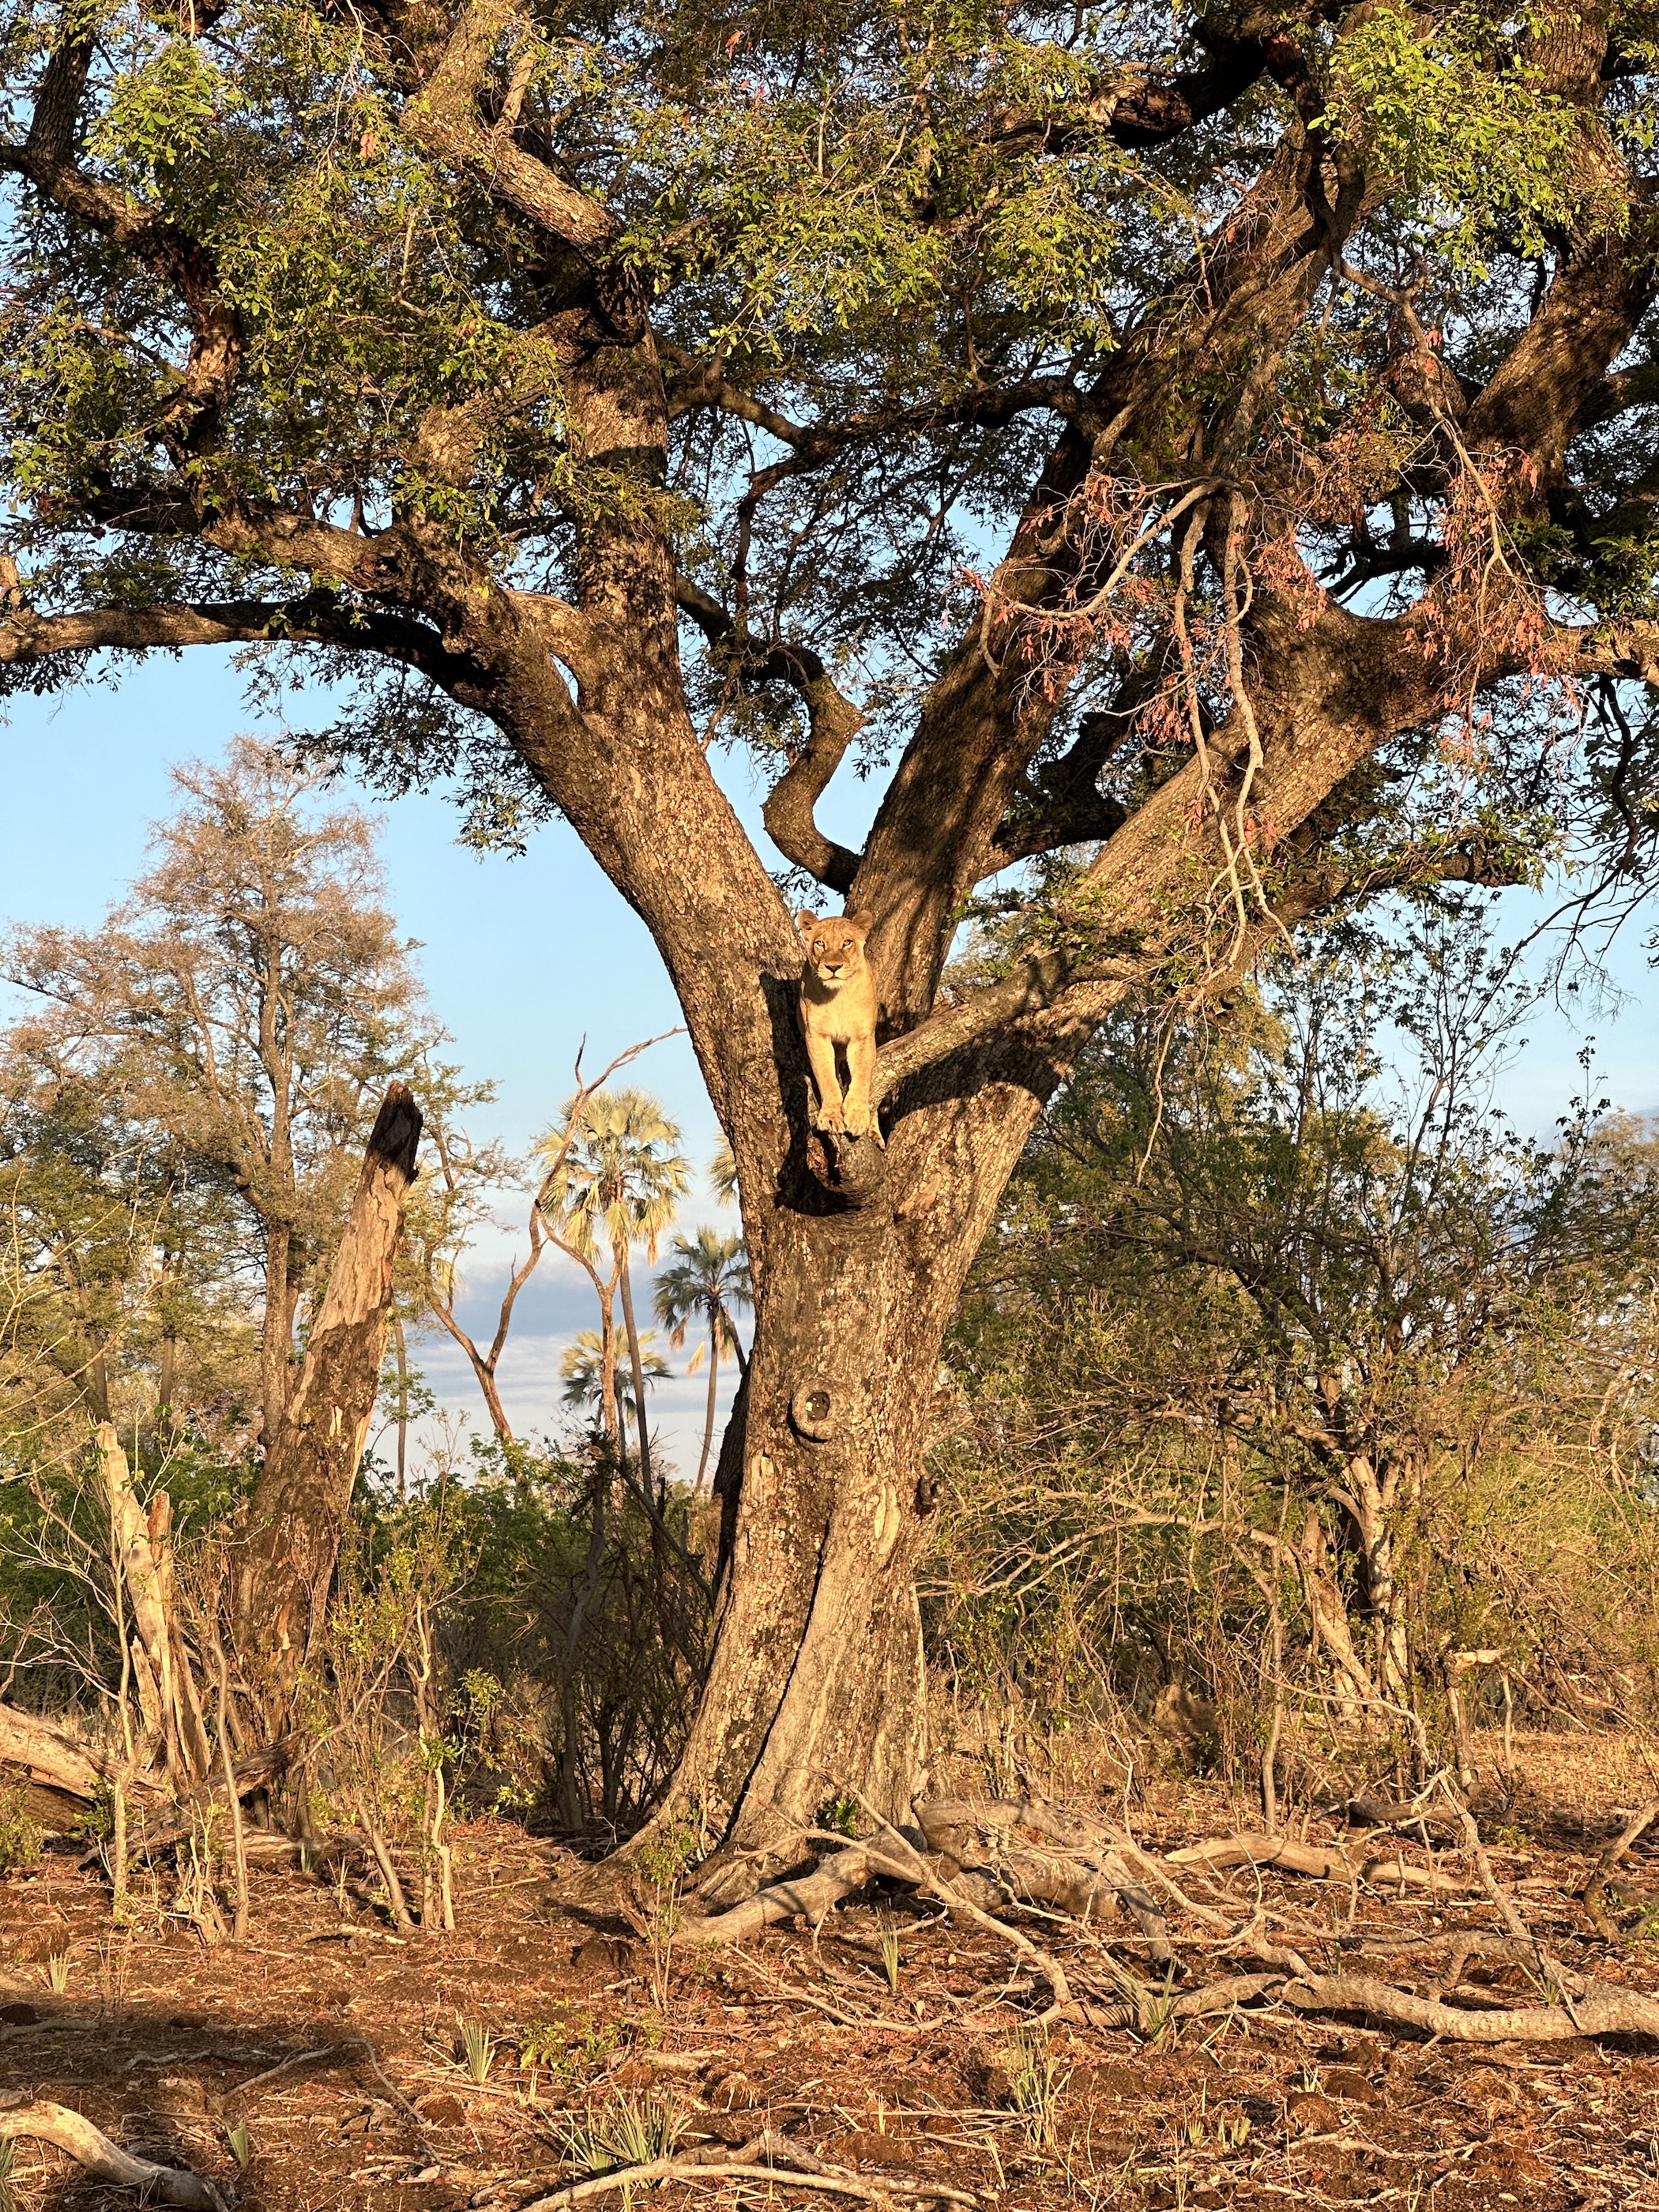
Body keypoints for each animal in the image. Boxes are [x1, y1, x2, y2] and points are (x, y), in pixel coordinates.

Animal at [797, 908, 882, 1142]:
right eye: (820, 944)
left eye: (847, 942)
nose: (833, 967)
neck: (838, 997)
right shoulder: (817, 1036)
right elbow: (826, 1078)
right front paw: (831, 1116)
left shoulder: (862, 1037)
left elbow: (861, 1077)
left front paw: (858, 1116)